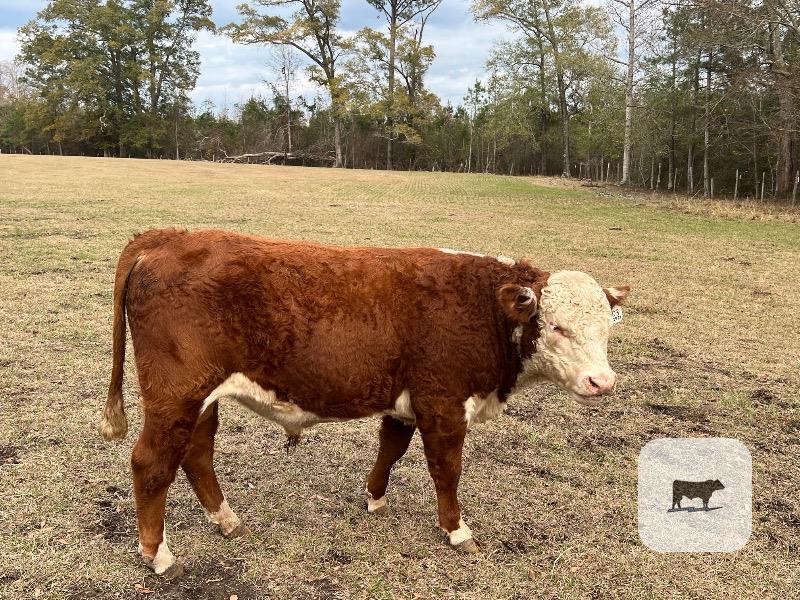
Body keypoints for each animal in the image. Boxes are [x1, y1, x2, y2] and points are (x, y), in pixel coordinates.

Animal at [98, 228, 630, 577]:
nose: (602, 381)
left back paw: (227, 522)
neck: (481, 308)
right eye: (556, 325)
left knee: (197, 454)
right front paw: (457, 531)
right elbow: (447, 469)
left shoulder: (407, 400)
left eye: (608, 326)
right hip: (175, 396)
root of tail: (163, 237)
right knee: (151, 463)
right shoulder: (444, 402)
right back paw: (158, 555)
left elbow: (390, 448)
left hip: (202, 399)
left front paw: (374, 498)